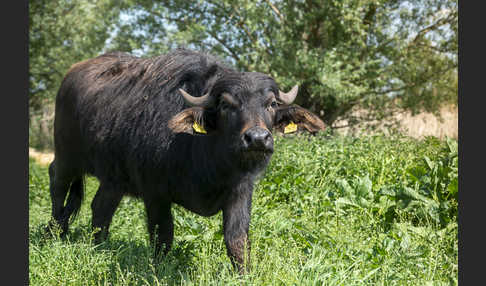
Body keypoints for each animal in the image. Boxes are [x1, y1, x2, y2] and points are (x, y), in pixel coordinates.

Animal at [47, 48, 324, 272]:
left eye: (272, 103)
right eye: (226, 104)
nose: (256, 138)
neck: (210, 161)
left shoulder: (241, 191)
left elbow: (237, 240)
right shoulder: (155, 193)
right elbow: (163, 236)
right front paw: (158, 269)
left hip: (114, 178)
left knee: (101, 207)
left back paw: (100, 246)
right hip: (66, 157)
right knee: (57, 184)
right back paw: (56, 231)